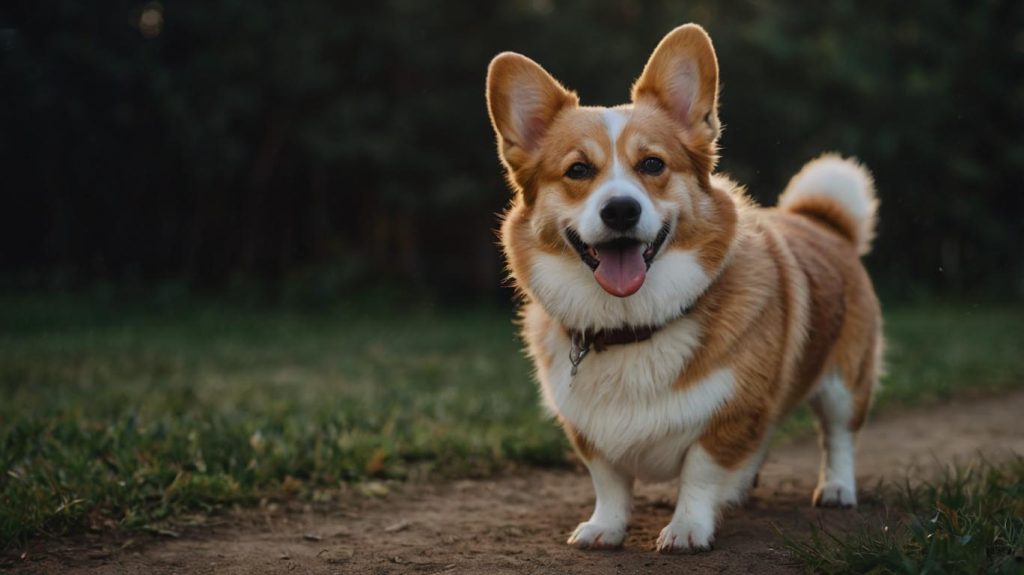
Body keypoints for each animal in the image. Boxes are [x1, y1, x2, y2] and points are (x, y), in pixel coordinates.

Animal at [485, 24, 880, 552]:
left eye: (653, 164)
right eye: (578, 171)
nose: (621, 210)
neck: (632, 324)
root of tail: (821, 218)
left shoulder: (729, 414)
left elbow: (700, 472)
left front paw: (688, 528)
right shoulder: (587, 429)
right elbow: (609, 481)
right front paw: (604, 527)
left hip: (844, 381)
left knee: (837, 435)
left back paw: (836, 488)